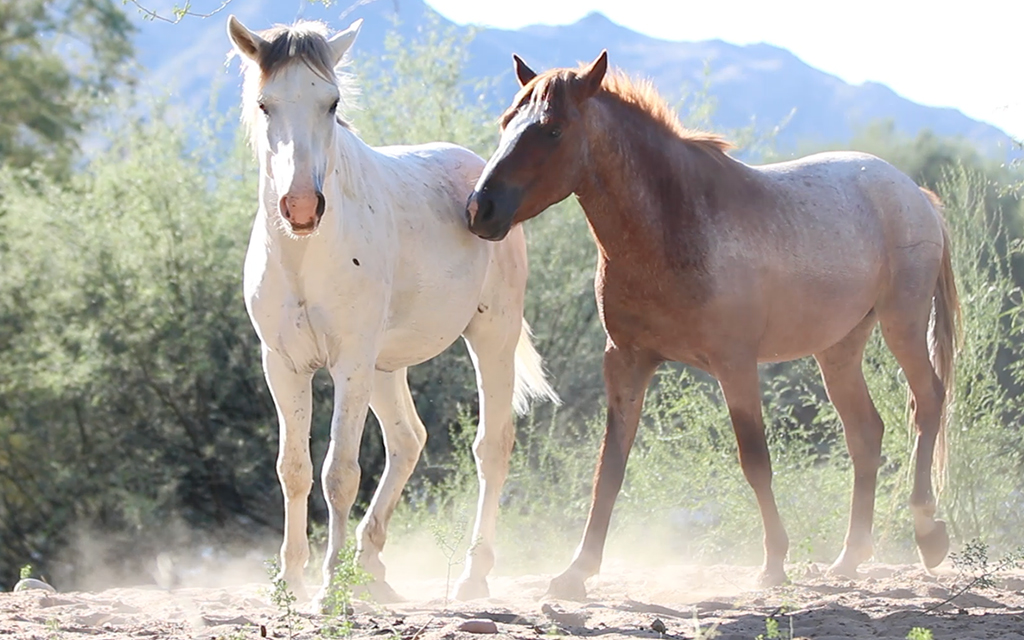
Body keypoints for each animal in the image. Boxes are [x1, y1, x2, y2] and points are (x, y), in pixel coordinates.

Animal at [226, 16, 559, 606]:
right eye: (266, 104)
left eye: (332, 102)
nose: (302, 207)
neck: (305, 254)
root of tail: (482, 178)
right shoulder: (283, 366)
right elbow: (293, 469)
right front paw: (290, 581)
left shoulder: (349, 365)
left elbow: (339, 472)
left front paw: (331, 587)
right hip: (384, 368)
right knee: (409, 439)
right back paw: (373, 564)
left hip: (487, 339)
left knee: (491, 449)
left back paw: (472, 575)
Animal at [466, 51, 960, 600]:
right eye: (508, 122)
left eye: (552, 130)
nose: (480, 208)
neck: (671, 226)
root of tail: (915, 194)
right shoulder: (626, 362)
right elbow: (610, 467)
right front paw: (577, 571)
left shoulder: (735, 365)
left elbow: (755, 460)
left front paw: (773, 563)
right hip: (839, 349)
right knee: (866, 434)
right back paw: (850, 557)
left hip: (902, 325)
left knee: (927, 403)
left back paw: (927, 533)